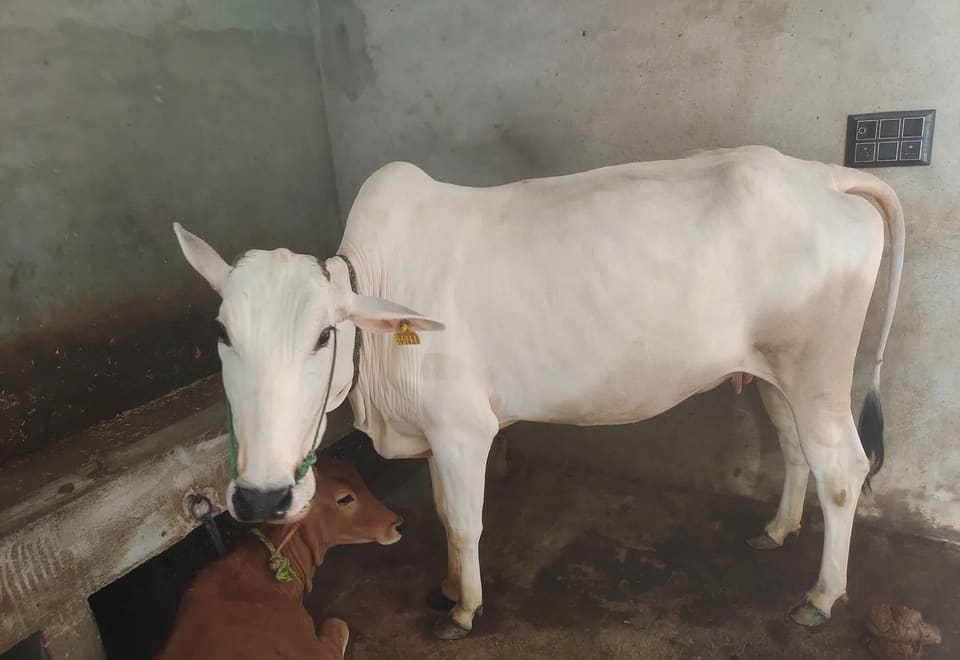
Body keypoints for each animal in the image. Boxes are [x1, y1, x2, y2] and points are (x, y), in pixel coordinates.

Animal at [173, 144, 903, 640]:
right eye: (222, 332)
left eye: (325, 335)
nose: (262, 498)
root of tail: (821, 173)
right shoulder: (436, 436)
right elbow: (442, 510)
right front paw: (445, 587)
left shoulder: (464, 430)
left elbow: (463, 521)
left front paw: (465, 608)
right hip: (778, 375)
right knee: (795, 450)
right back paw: (777, 530)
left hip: (817, 371)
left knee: (844, 471)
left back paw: (821, 596)